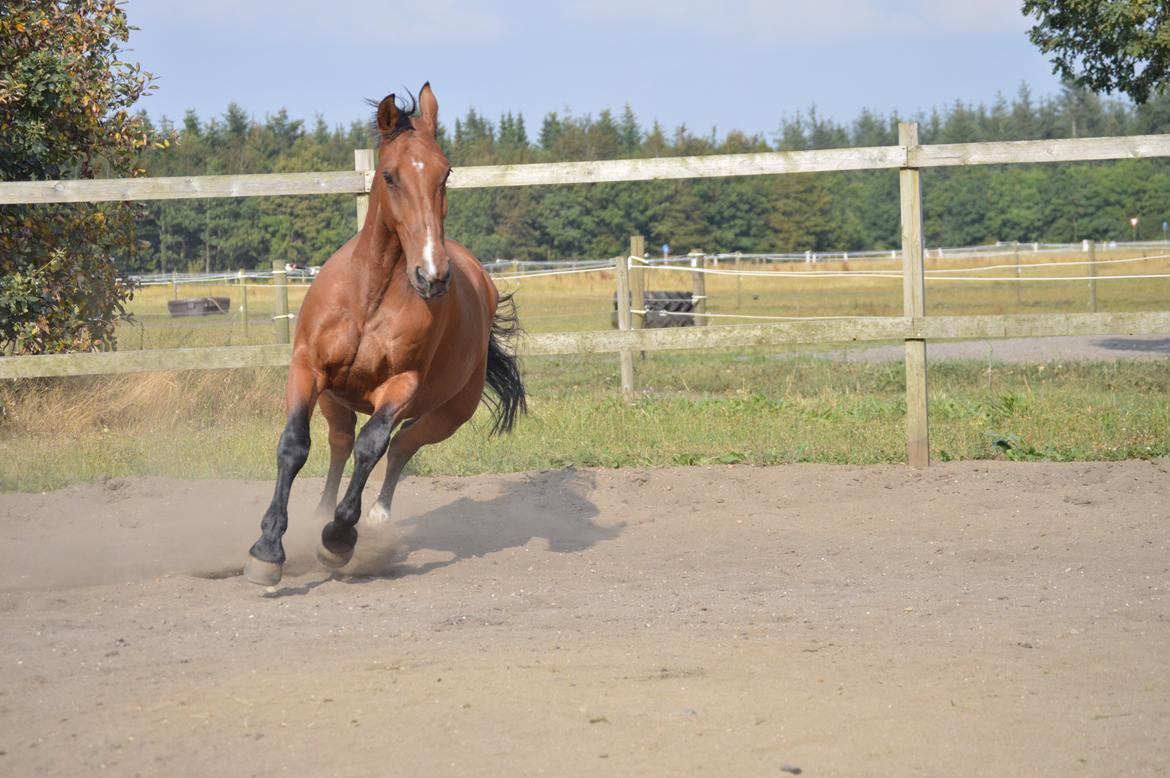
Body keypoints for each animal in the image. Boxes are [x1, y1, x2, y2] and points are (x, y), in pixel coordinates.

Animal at [246, 83, 526, 582]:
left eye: (445, 173)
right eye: (391, 176)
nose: (432, 275)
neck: (369, 296)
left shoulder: (401, 386)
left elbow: (371, 447)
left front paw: (338, 539)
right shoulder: (307, 369)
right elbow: (295, 446)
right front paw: (268, 548)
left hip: (448, 414)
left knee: (400, 447)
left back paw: (374, 521)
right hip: (335, 399)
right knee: (340, 444)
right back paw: (323, 513)